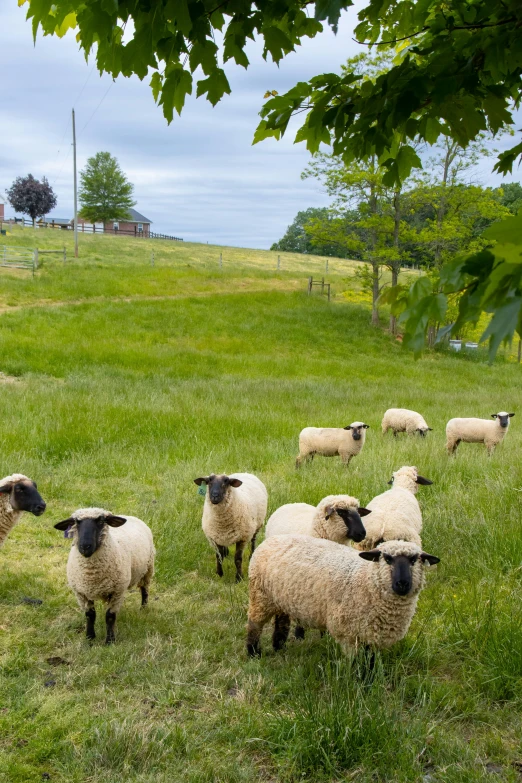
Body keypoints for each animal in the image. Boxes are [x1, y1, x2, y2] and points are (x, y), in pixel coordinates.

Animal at [53, 508, 153, 644]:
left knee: (144, 590)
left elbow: (110, 616)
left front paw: (110, 641)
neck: (92, 574)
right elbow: (90, 616)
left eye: (100, 521)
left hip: (148, 569)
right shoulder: (81, 593)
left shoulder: (117, 591)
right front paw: (89, 638)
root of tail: (128, 516)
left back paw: (143, 609)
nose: (85, 546)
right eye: (76, 522)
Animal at [246, 536, 436, 660]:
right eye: (387, 559)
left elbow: (370, 662)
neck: (365, 579)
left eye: (414, 559)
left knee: (281, 621)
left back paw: (279, 647)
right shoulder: (349, 634)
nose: (402, 583)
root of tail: (272, 539)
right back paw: (253, 653)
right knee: (255, 624)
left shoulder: (372, 634)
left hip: (281, 599)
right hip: (260, 596)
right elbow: (358, 664)